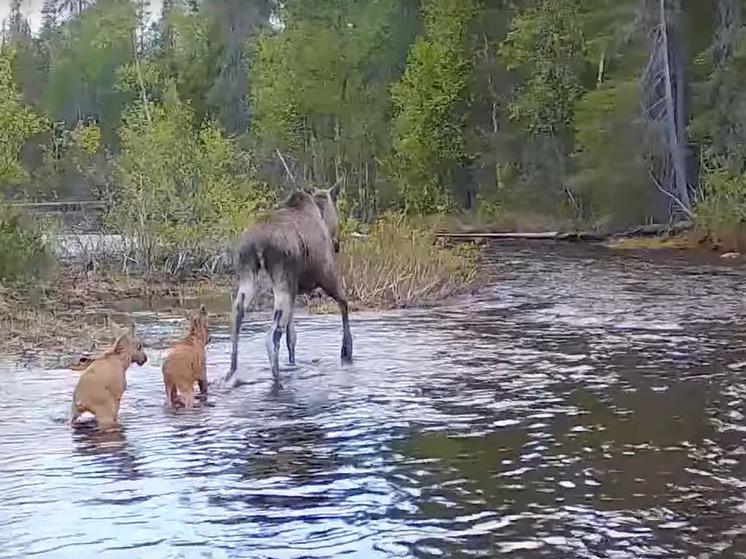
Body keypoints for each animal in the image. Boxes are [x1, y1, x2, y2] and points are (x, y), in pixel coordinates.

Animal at [224, 184, 352, 384]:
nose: (337, 243)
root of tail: (256, 244)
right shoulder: (326, 275)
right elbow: (344, 303)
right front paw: (346, 351)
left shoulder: (294, 290)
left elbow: (292, 337)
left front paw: (293, 362)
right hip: (282, 279)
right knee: (272, 336)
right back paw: (277, 377)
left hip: (248, 275)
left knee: (236, 315)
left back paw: (232, 371)